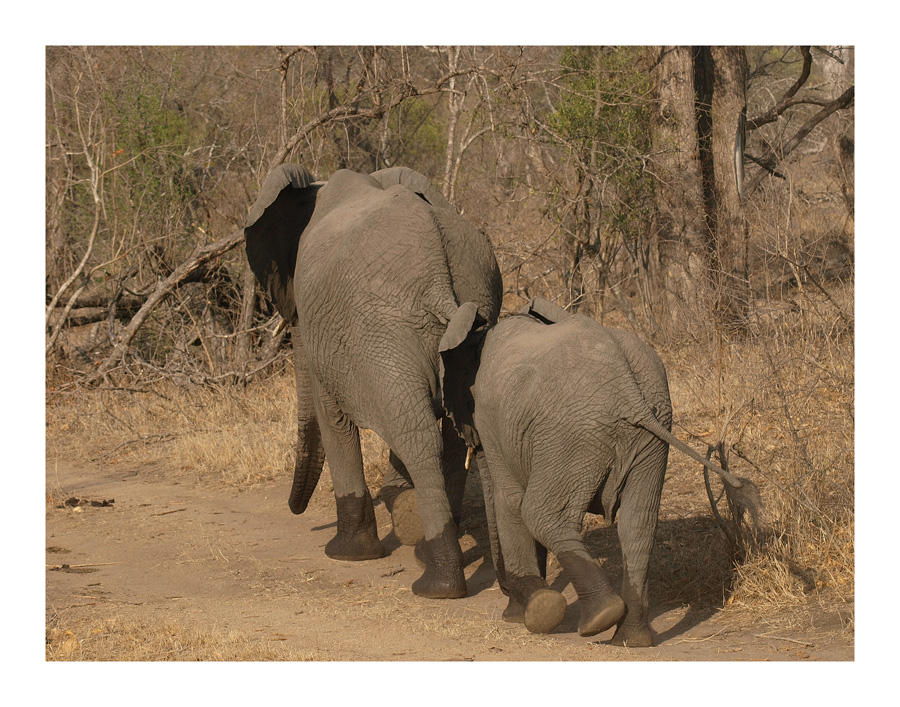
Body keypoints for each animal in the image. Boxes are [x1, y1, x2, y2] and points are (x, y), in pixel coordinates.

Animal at [243, 165, 502, 596]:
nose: (294, 510)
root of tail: (438, 271)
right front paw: (397, 503)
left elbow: (333, 419)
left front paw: (347, 554)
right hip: (463, 309)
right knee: (448, 428)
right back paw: (424, 546)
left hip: (382, 330)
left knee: (418, 437)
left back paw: (438, 583)